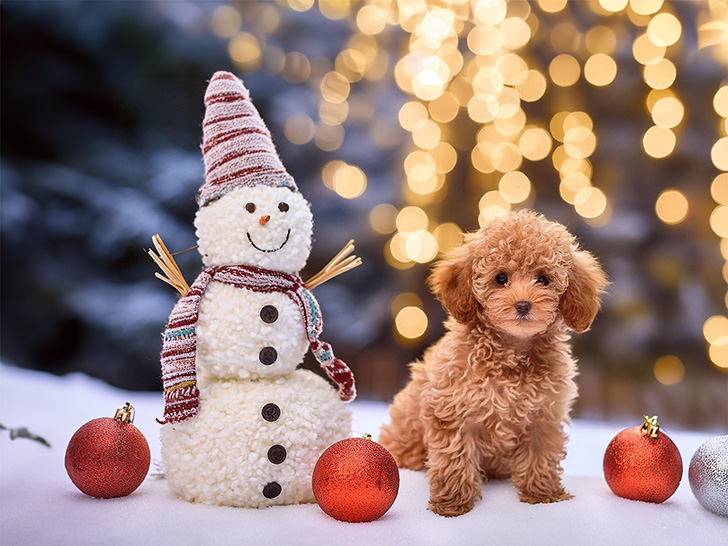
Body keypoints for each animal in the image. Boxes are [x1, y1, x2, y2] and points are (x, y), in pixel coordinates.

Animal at [382, 208, 608, 516]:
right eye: (501, 278)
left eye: (543, 279)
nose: (523, 305)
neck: (512, 352)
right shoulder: (452, 411)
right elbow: (455, 459)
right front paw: (452, 504)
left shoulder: (544, 415)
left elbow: (540, 456)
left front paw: (543, 496)